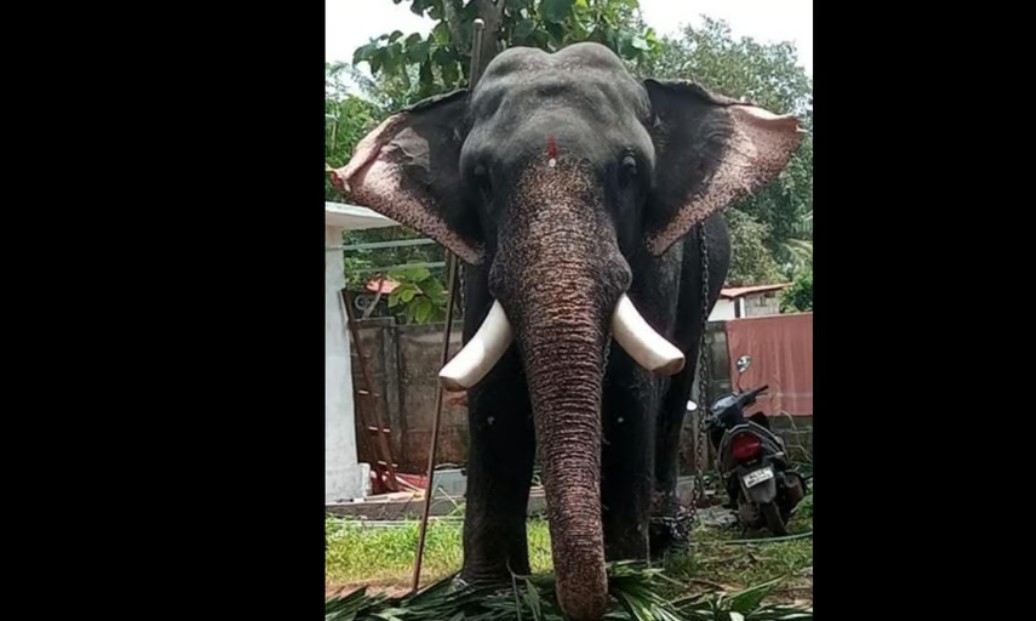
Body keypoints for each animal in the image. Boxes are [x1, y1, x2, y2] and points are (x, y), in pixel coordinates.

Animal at [332, 41, 804, 621]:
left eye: (629, 171)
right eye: (482, 177)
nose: (576, 597)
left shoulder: (658, 255)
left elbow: (629, 389)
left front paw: (629, 584)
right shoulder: (477, 258)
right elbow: (495, 393)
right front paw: (484, 594)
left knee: (674, 392)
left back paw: (666, 546)